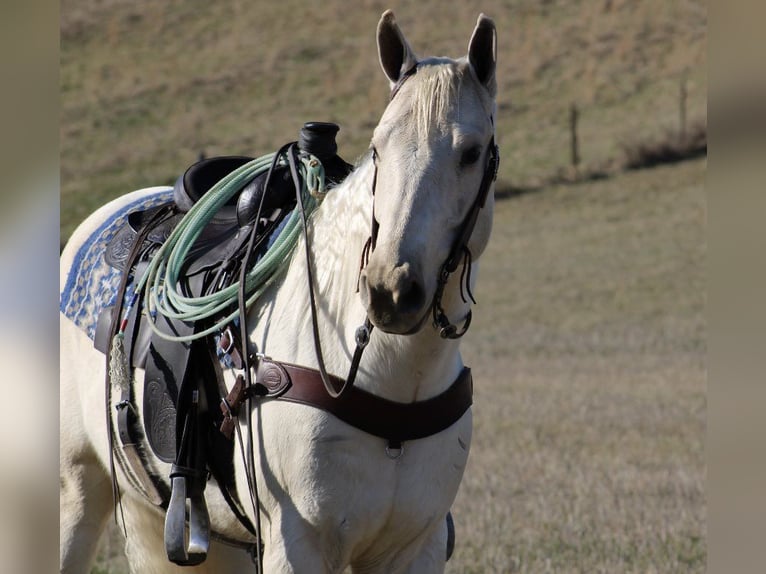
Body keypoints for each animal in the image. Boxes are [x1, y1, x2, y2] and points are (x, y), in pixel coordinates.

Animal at [63, 10, 500, 574]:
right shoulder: (296, 542)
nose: (390, 289)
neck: (391, 377)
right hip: (78, 490)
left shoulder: (414, 547)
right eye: (377, 148)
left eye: (471, 153)